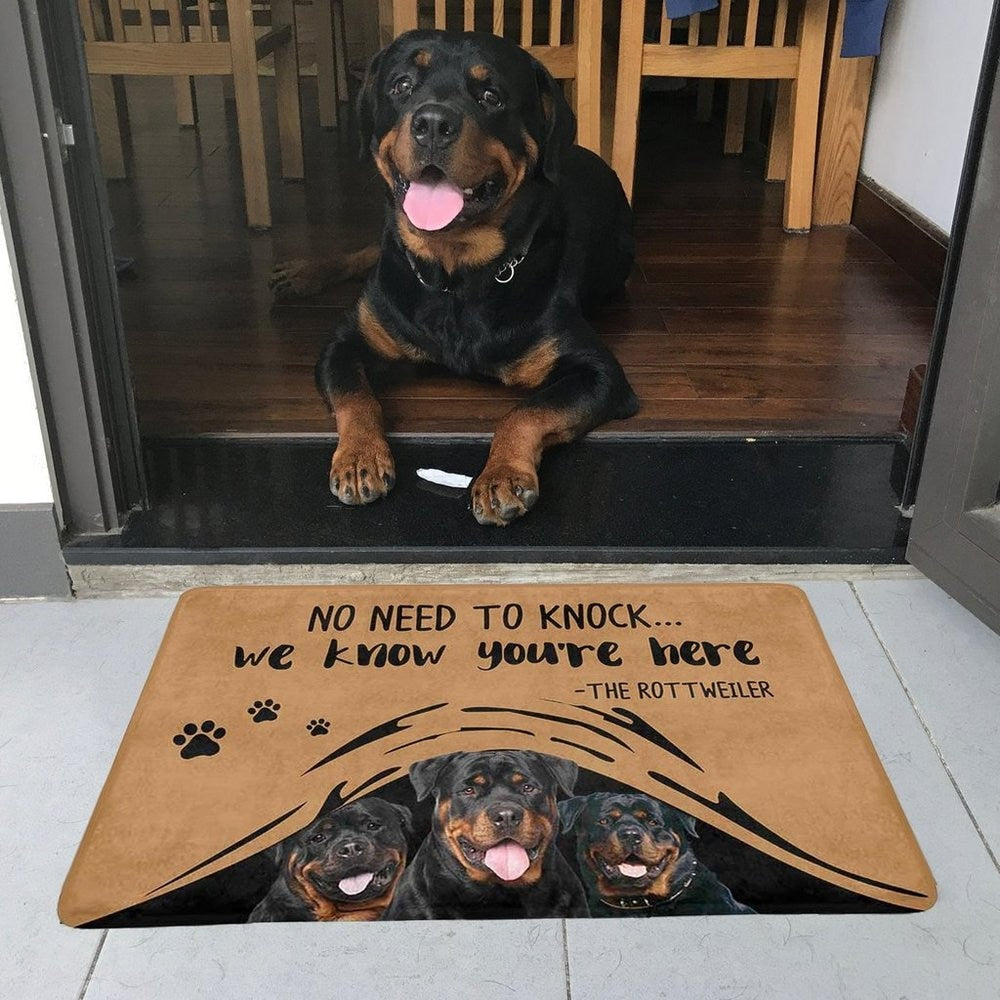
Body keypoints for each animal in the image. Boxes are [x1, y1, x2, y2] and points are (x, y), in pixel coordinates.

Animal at [272, 28, 640, 528]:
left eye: (491, 96)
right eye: (402, 86)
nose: (432, 123)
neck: (454, 276)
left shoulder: (598, 373)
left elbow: (526, 411)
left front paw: (502, 475)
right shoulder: (344, 344)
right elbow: (356, 396)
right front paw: (359, 458)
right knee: (370, 249)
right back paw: (306, 273)